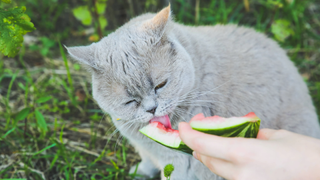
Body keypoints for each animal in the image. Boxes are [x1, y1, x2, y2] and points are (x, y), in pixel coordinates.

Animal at [66, 4, 320, 180]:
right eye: (130, 101)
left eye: (160, 85)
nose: (151, 108)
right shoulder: (145, 149)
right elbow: (146, 162)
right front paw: (139, 172)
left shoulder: (179, 163)